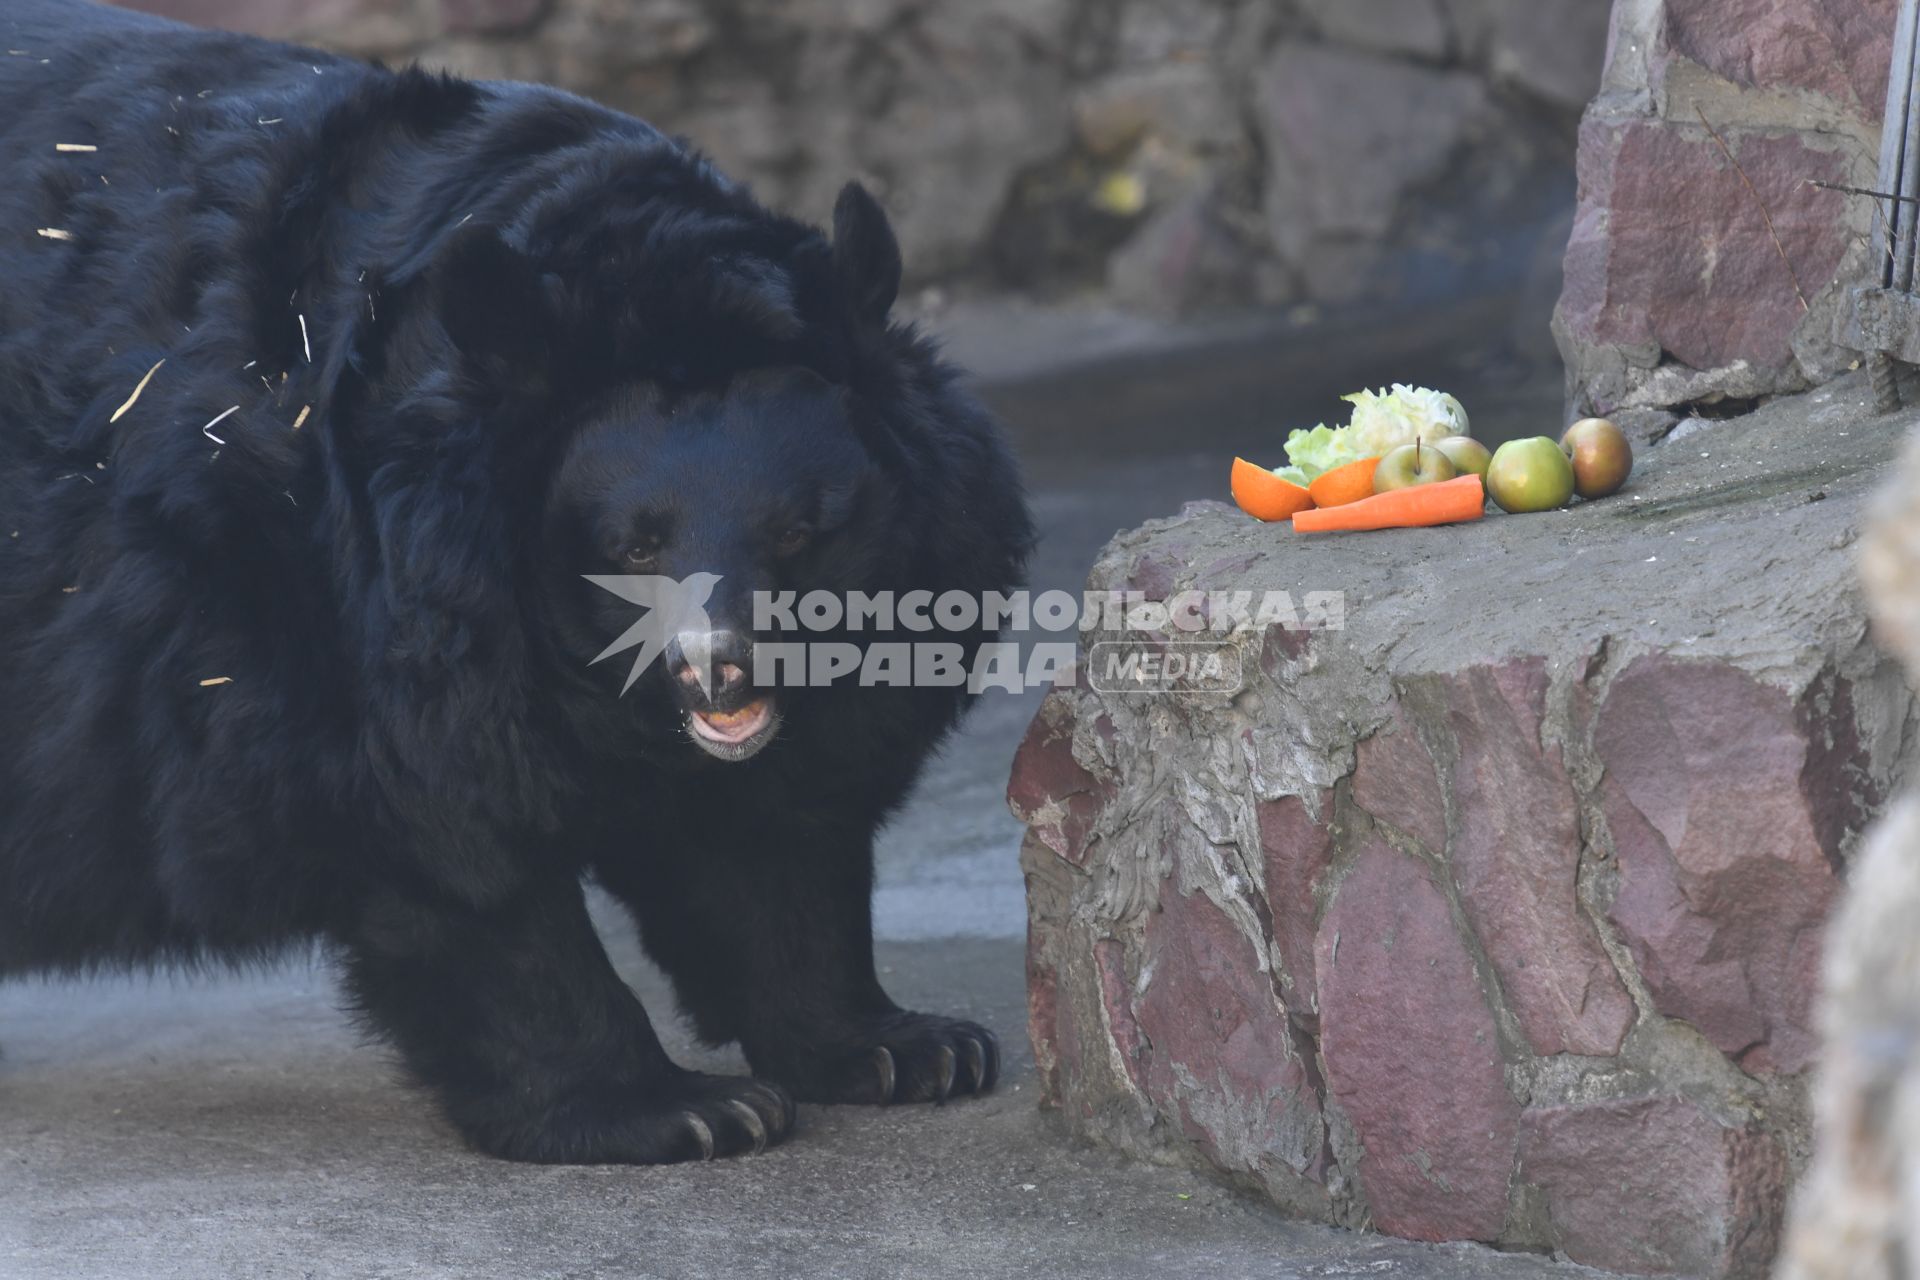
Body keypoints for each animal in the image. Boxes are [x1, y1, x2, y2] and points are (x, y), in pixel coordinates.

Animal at [0, 0, 1036, 1166]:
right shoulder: (355, 594)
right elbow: (451, 840)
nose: (718, 670)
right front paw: (681, 1106)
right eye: (634, 545)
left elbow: (780, 833)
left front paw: (907, 1046)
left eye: (801, 531)